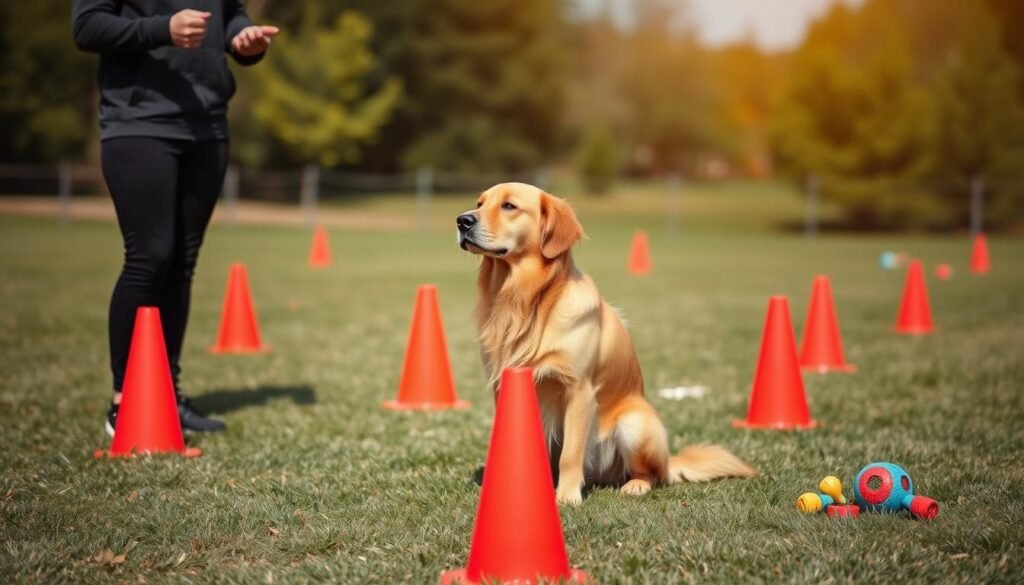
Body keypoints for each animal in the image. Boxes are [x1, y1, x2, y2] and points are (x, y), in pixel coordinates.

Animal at [456, 184, 753, 508]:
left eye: (509, 206)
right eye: (479, 203)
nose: (462, 221)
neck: (527, 302)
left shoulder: (579, 390)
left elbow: (571, 454)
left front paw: (567, 497)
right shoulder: (505, 387)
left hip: (635, 423)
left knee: (651, 474)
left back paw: (635, 485)